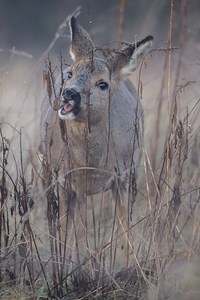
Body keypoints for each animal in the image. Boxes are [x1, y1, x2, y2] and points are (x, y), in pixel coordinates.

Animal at [40, 15, 153, 270]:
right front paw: (68, 268)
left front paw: (128, 266)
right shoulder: (64, 178)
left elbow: (125, 226)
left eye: (102, 84)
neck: (92, 164)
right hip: (48, 171)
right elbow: (69, 229)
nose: (70, 93)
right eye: (71, 73)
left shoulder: (125, 174)